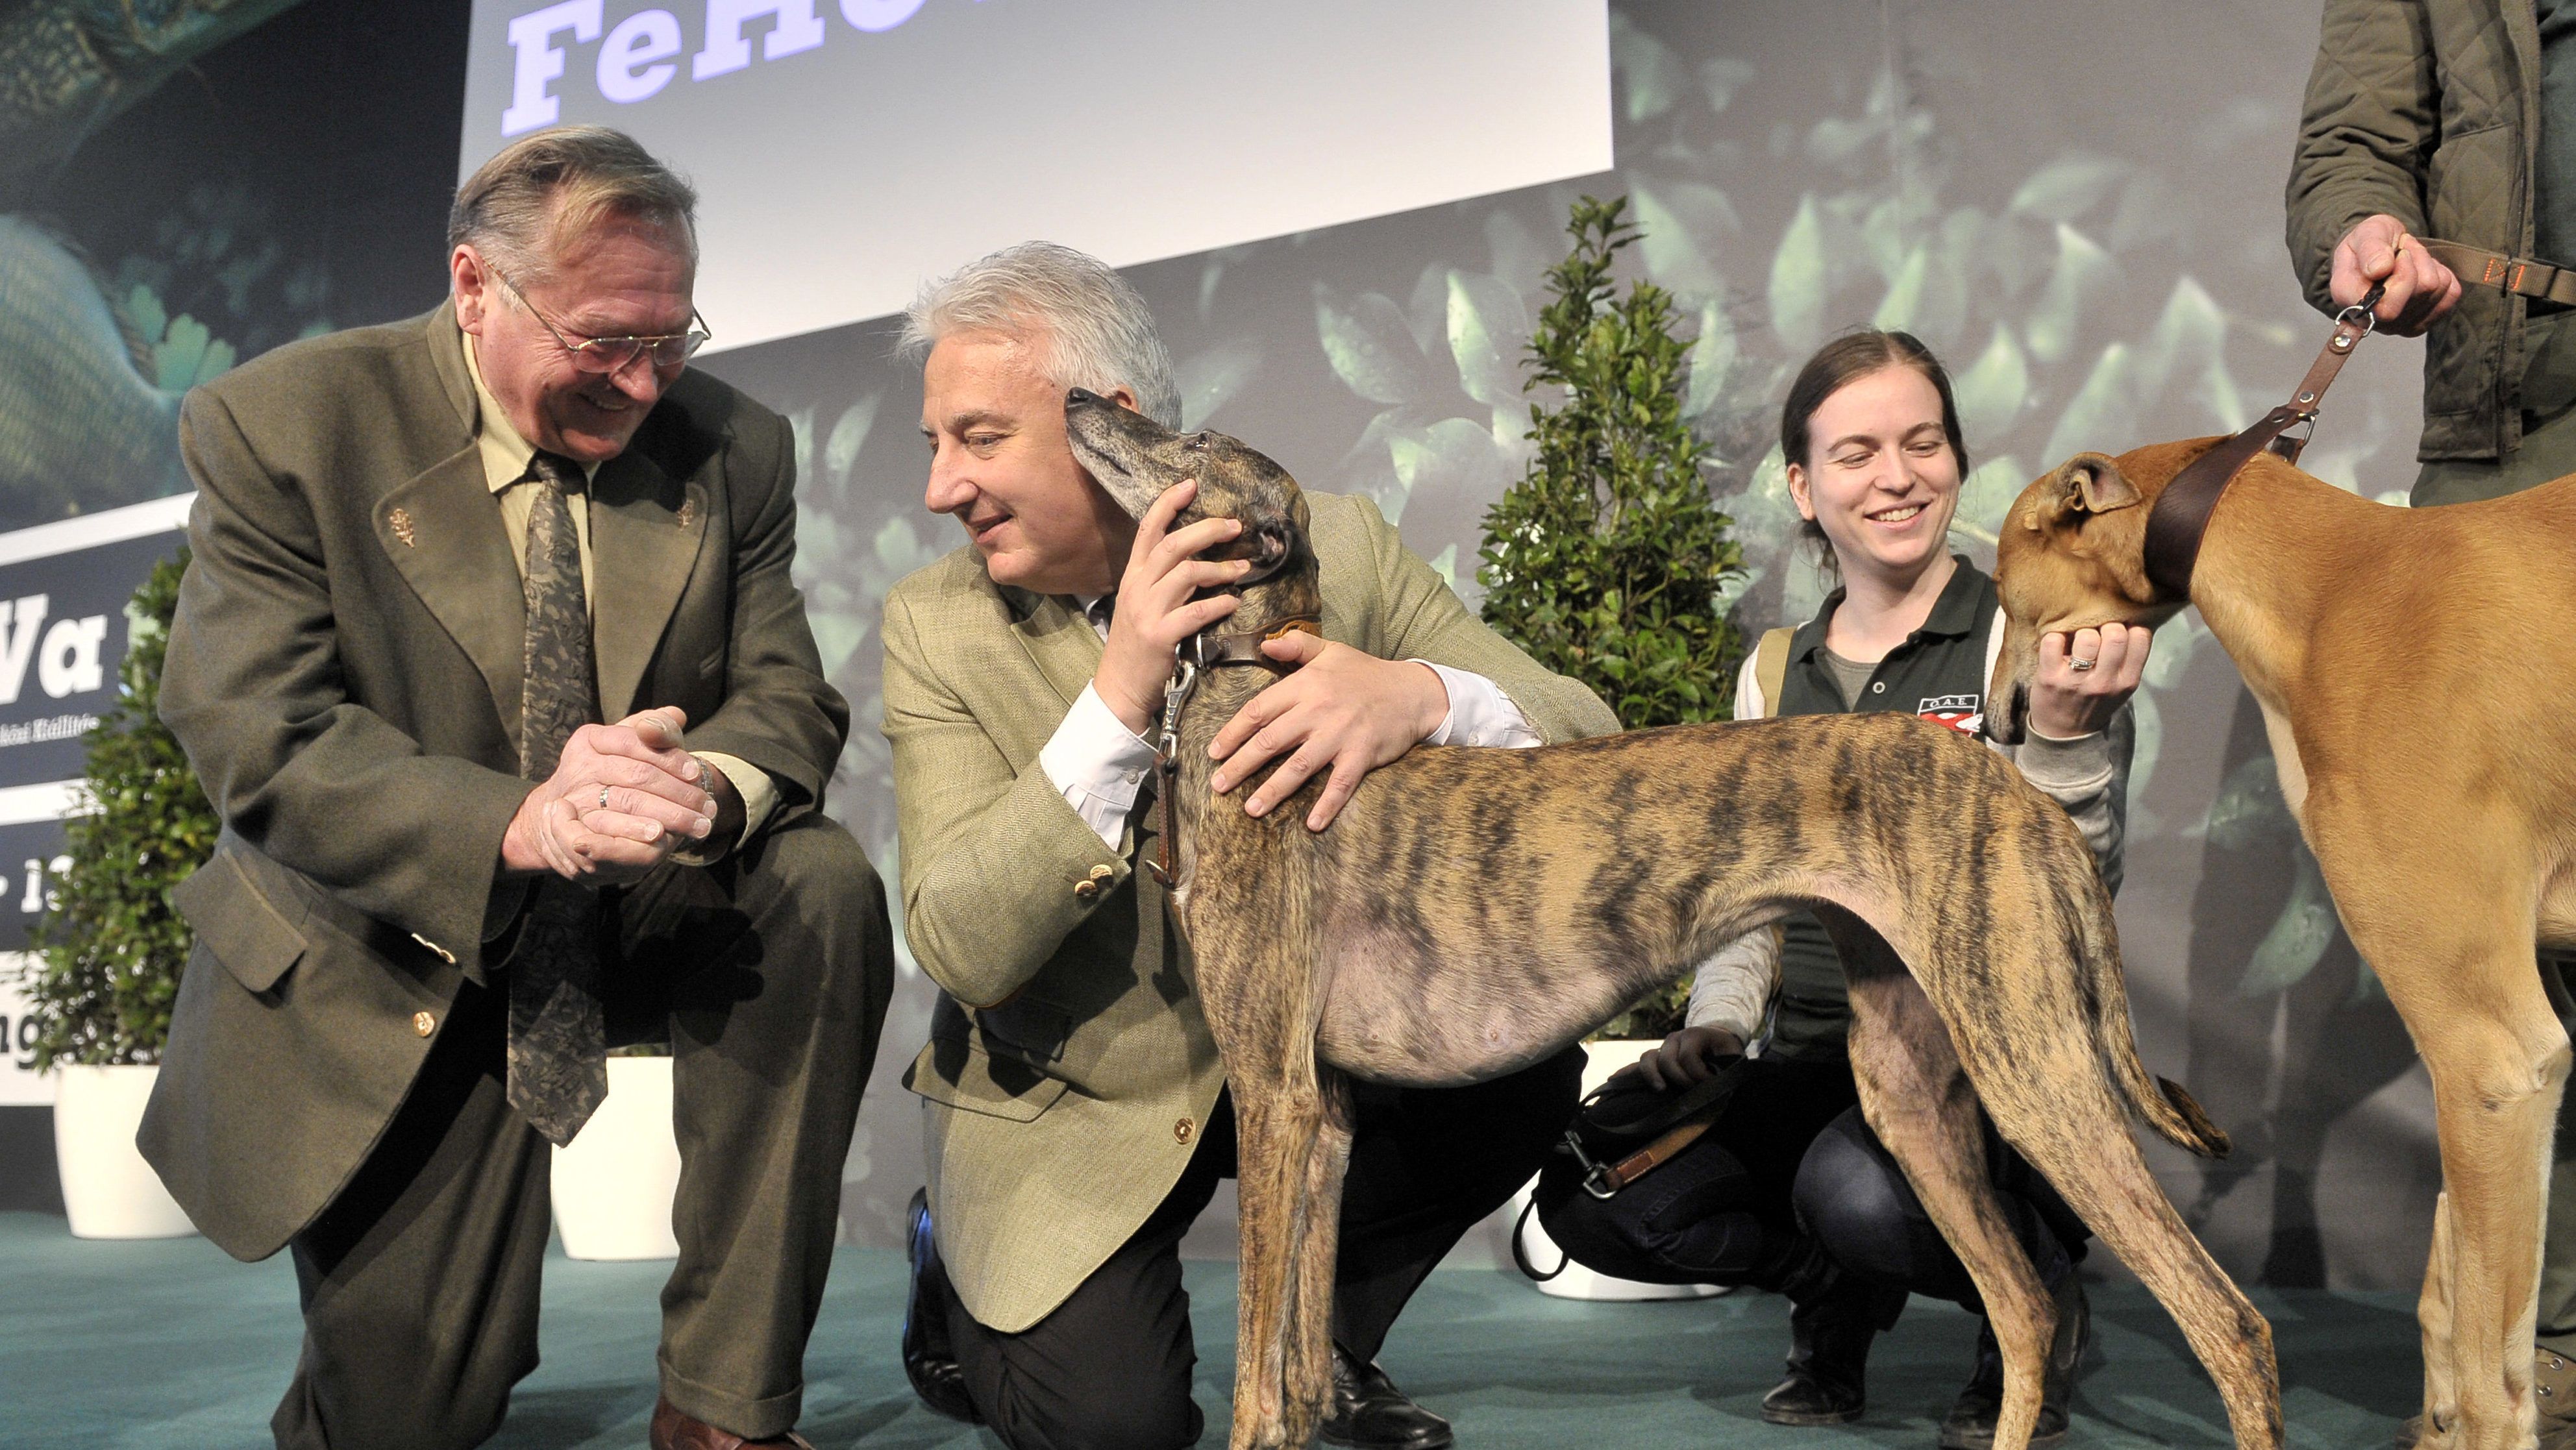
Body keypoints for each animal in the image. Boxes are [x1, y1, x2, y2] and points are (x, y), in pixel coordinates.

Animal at [1061, 394, 2277, 1450]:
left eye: (1196, 440)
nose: (1076, 398)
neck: (1254, 695)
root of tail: (2020, 792)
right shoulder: (1324, 1113)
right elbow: (1303, 1356)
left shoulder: (1272, 1090)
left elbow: (1259, 1369)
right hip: (1914, 1092)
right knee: (2026, 1307)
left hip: (2035, 1073)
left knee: (2229, 1322)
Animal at [1999, 440, 2576, 1450]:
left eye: (1998, 577)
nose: (1991, 721)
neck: (2335, 583)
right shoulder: (2503, 1056)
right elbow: (2455, 1293)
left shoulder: (2496, 1058)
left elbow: (2490, 1374)